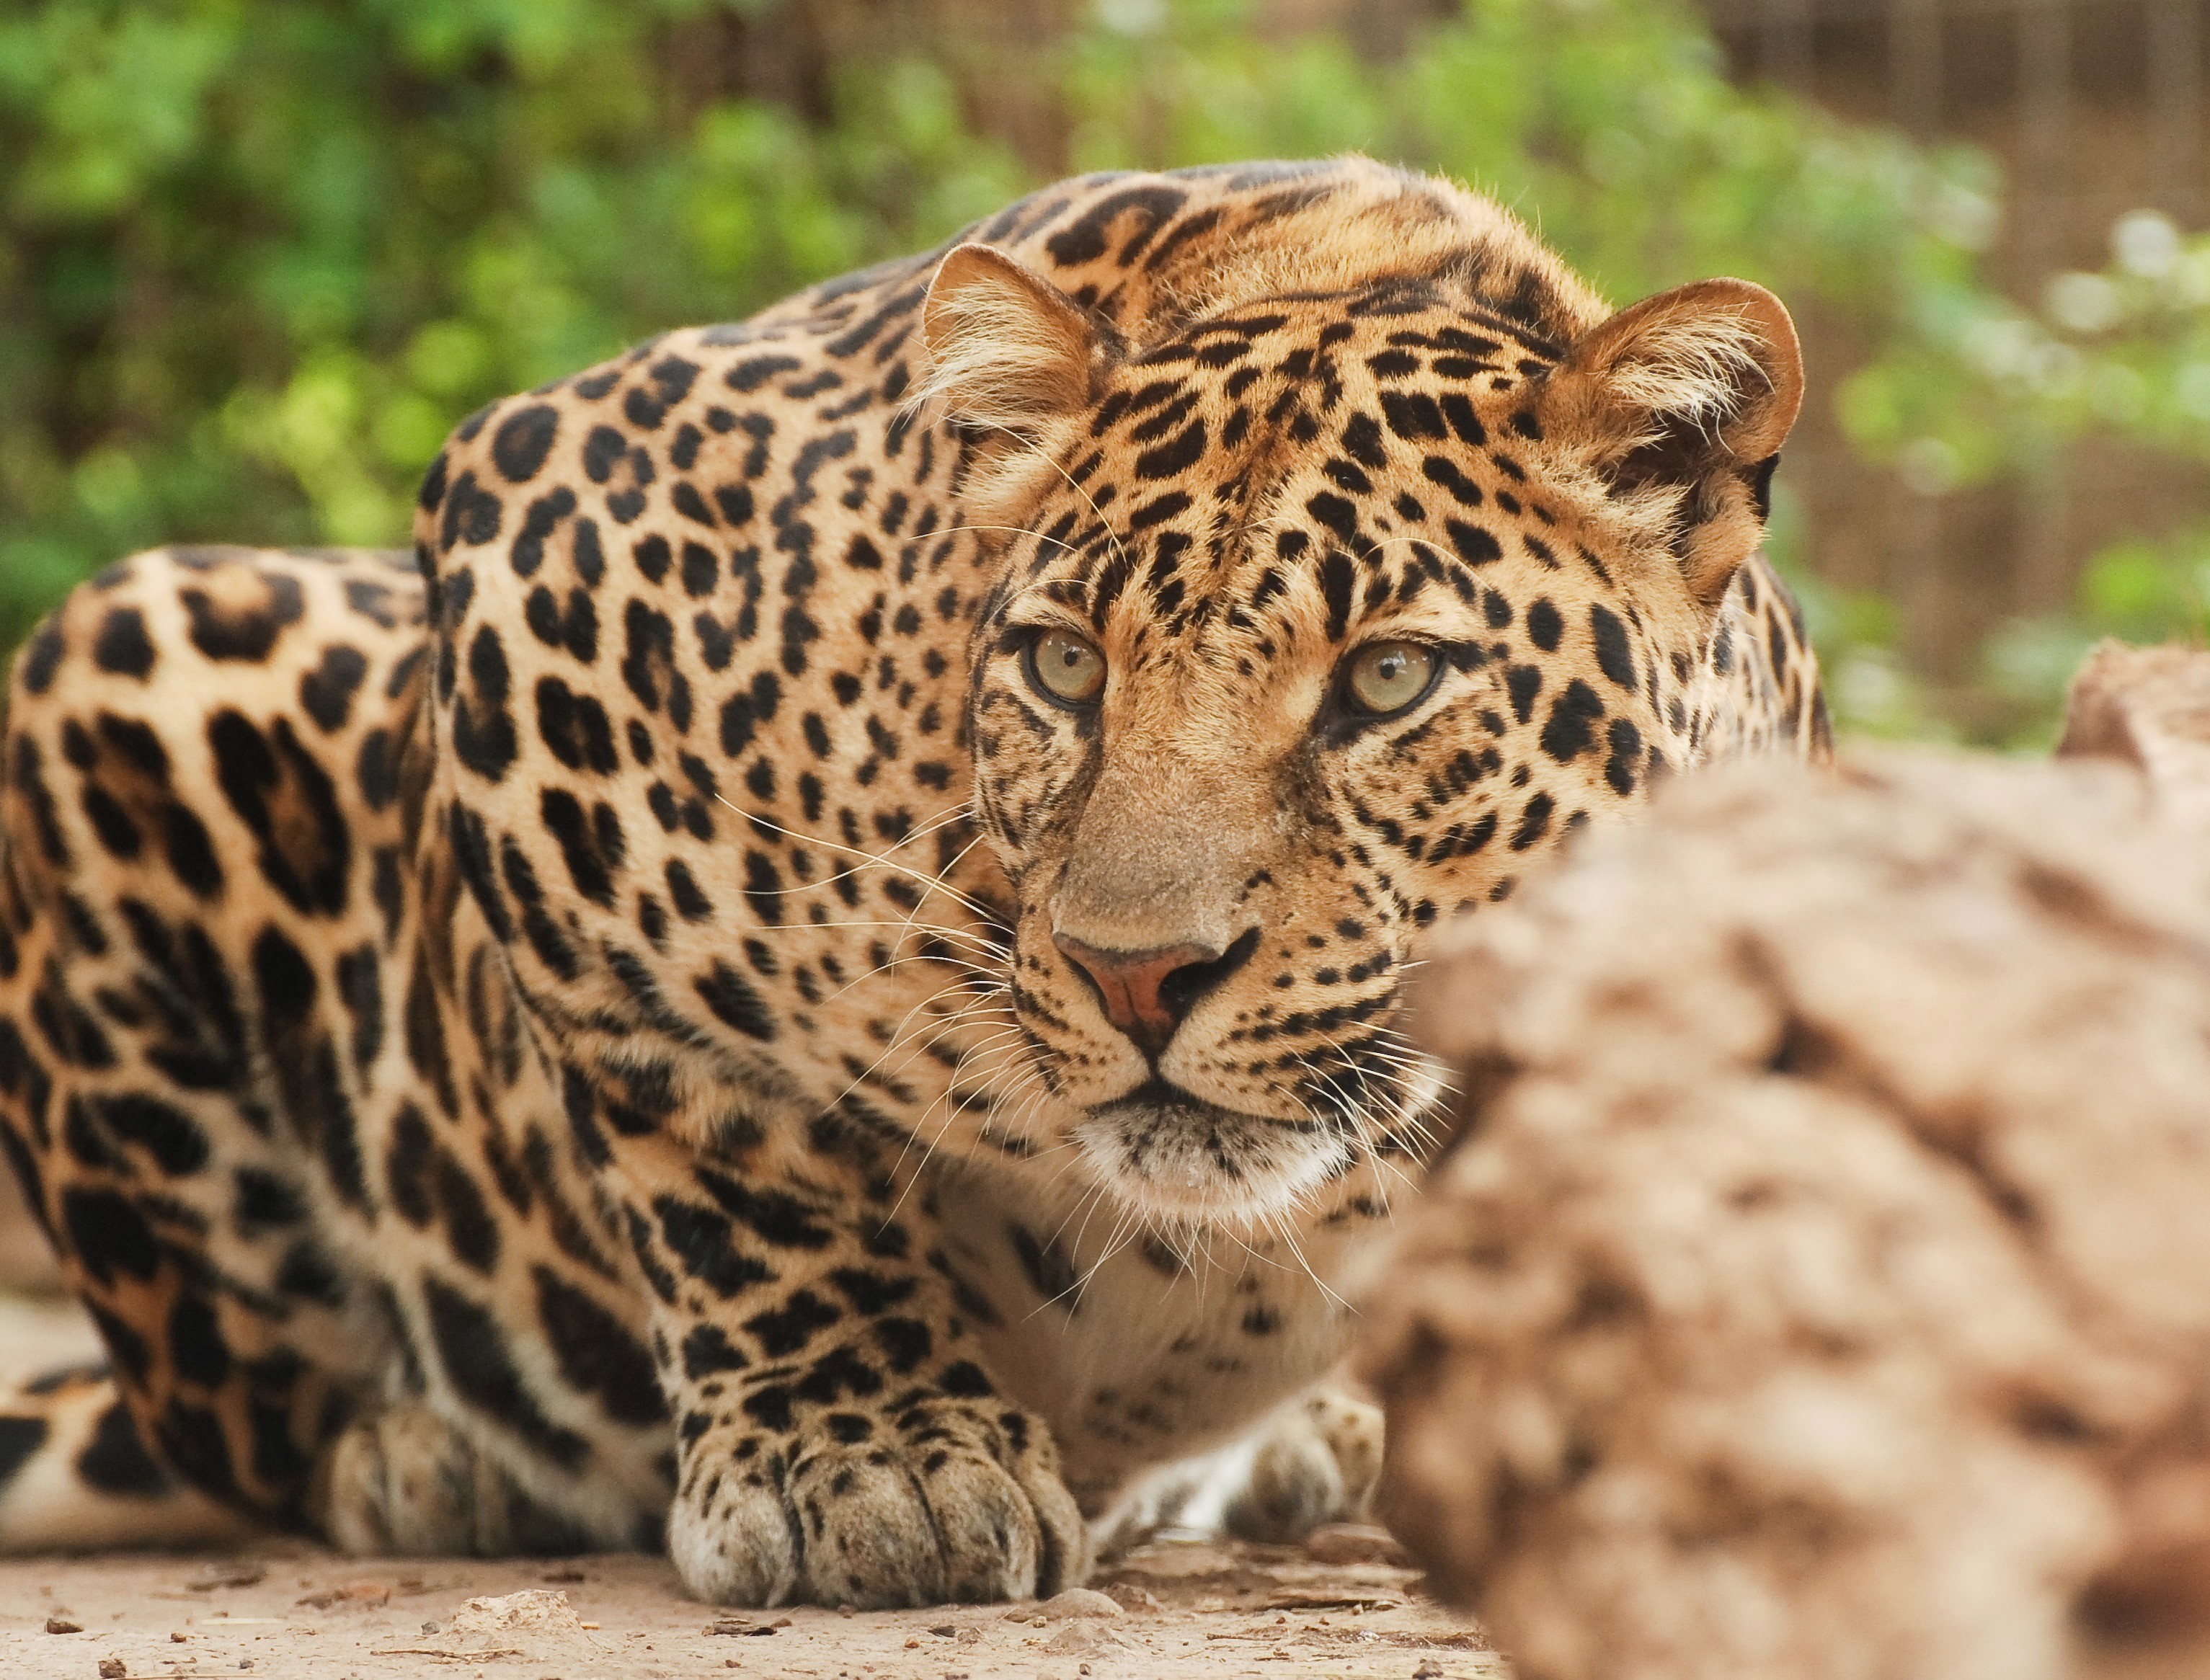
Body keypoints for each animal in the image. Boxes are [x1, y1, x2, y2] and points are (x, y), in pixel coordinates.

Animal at [0, 158, 1826, 1606]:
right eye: (1065, 664)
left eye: (1388, 679)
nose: (1139, 975)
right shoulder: (541, 545)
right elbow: (719, 1132)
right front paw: (869, 1452)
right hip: (122, 647)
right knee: (258, 1417)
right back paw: (424, 1454)